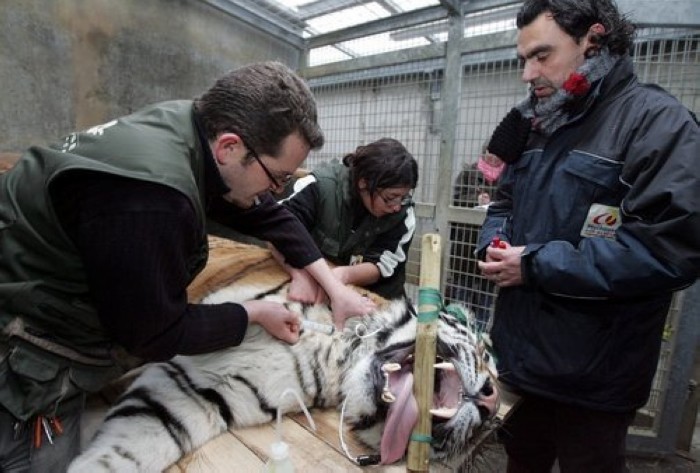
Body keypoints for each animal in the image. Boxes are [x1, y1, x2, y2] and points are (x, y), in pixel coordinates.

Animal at [68, 236, 500, 472]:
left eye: (485, 428)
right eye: (483, 352)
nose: (491, 403)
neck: (336, 356)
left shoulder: (196, 389)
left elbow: (124, 450)